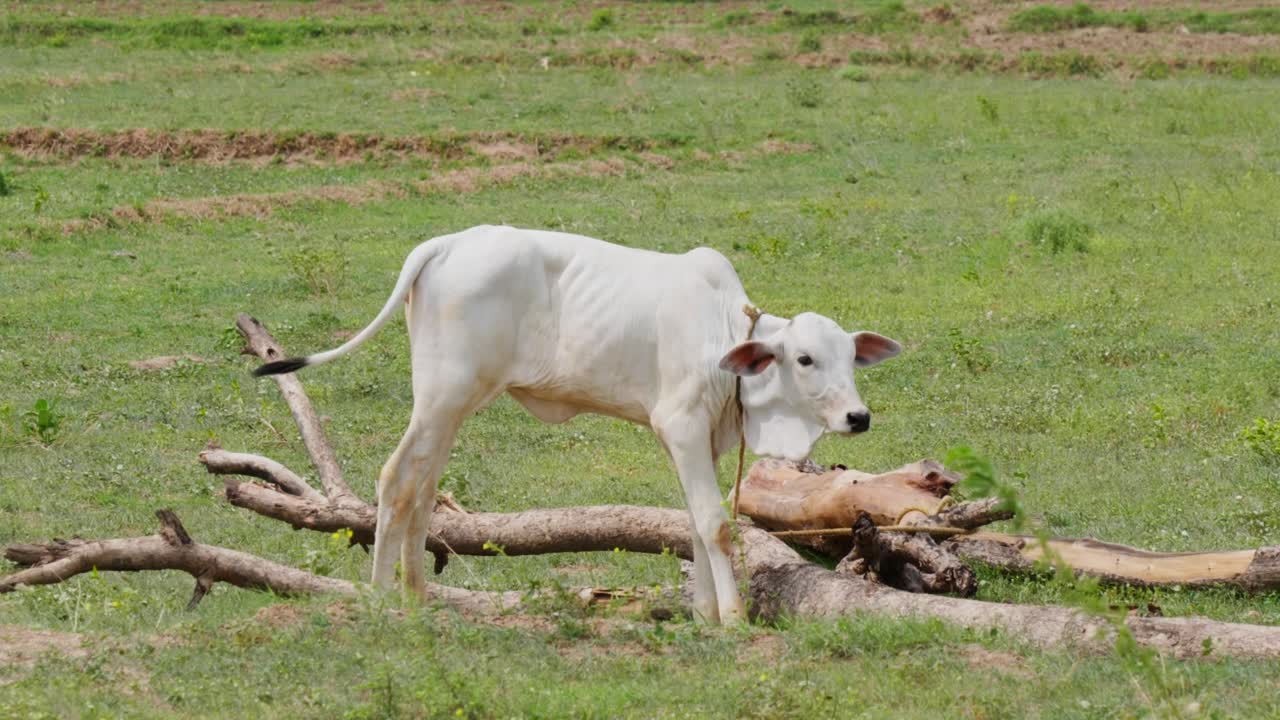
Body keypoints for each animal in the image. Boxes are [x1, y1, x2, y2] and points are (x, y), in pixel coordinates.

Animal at [254, 225, 901, 624]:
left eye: (851, 358)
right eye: (805, 359)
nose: (858, 416)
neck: (722, 337)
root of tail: (446, 243)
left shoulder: (696, 442)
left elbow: (693, 525)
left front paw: (703, 615)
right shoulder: (682, 427)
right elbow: (717, 526)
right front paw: (735, 619)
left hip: (449, 407)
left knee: (423, 485)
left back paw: (416, 596)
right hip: (442, 397)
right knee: (395, 479)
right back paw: (383, 599)